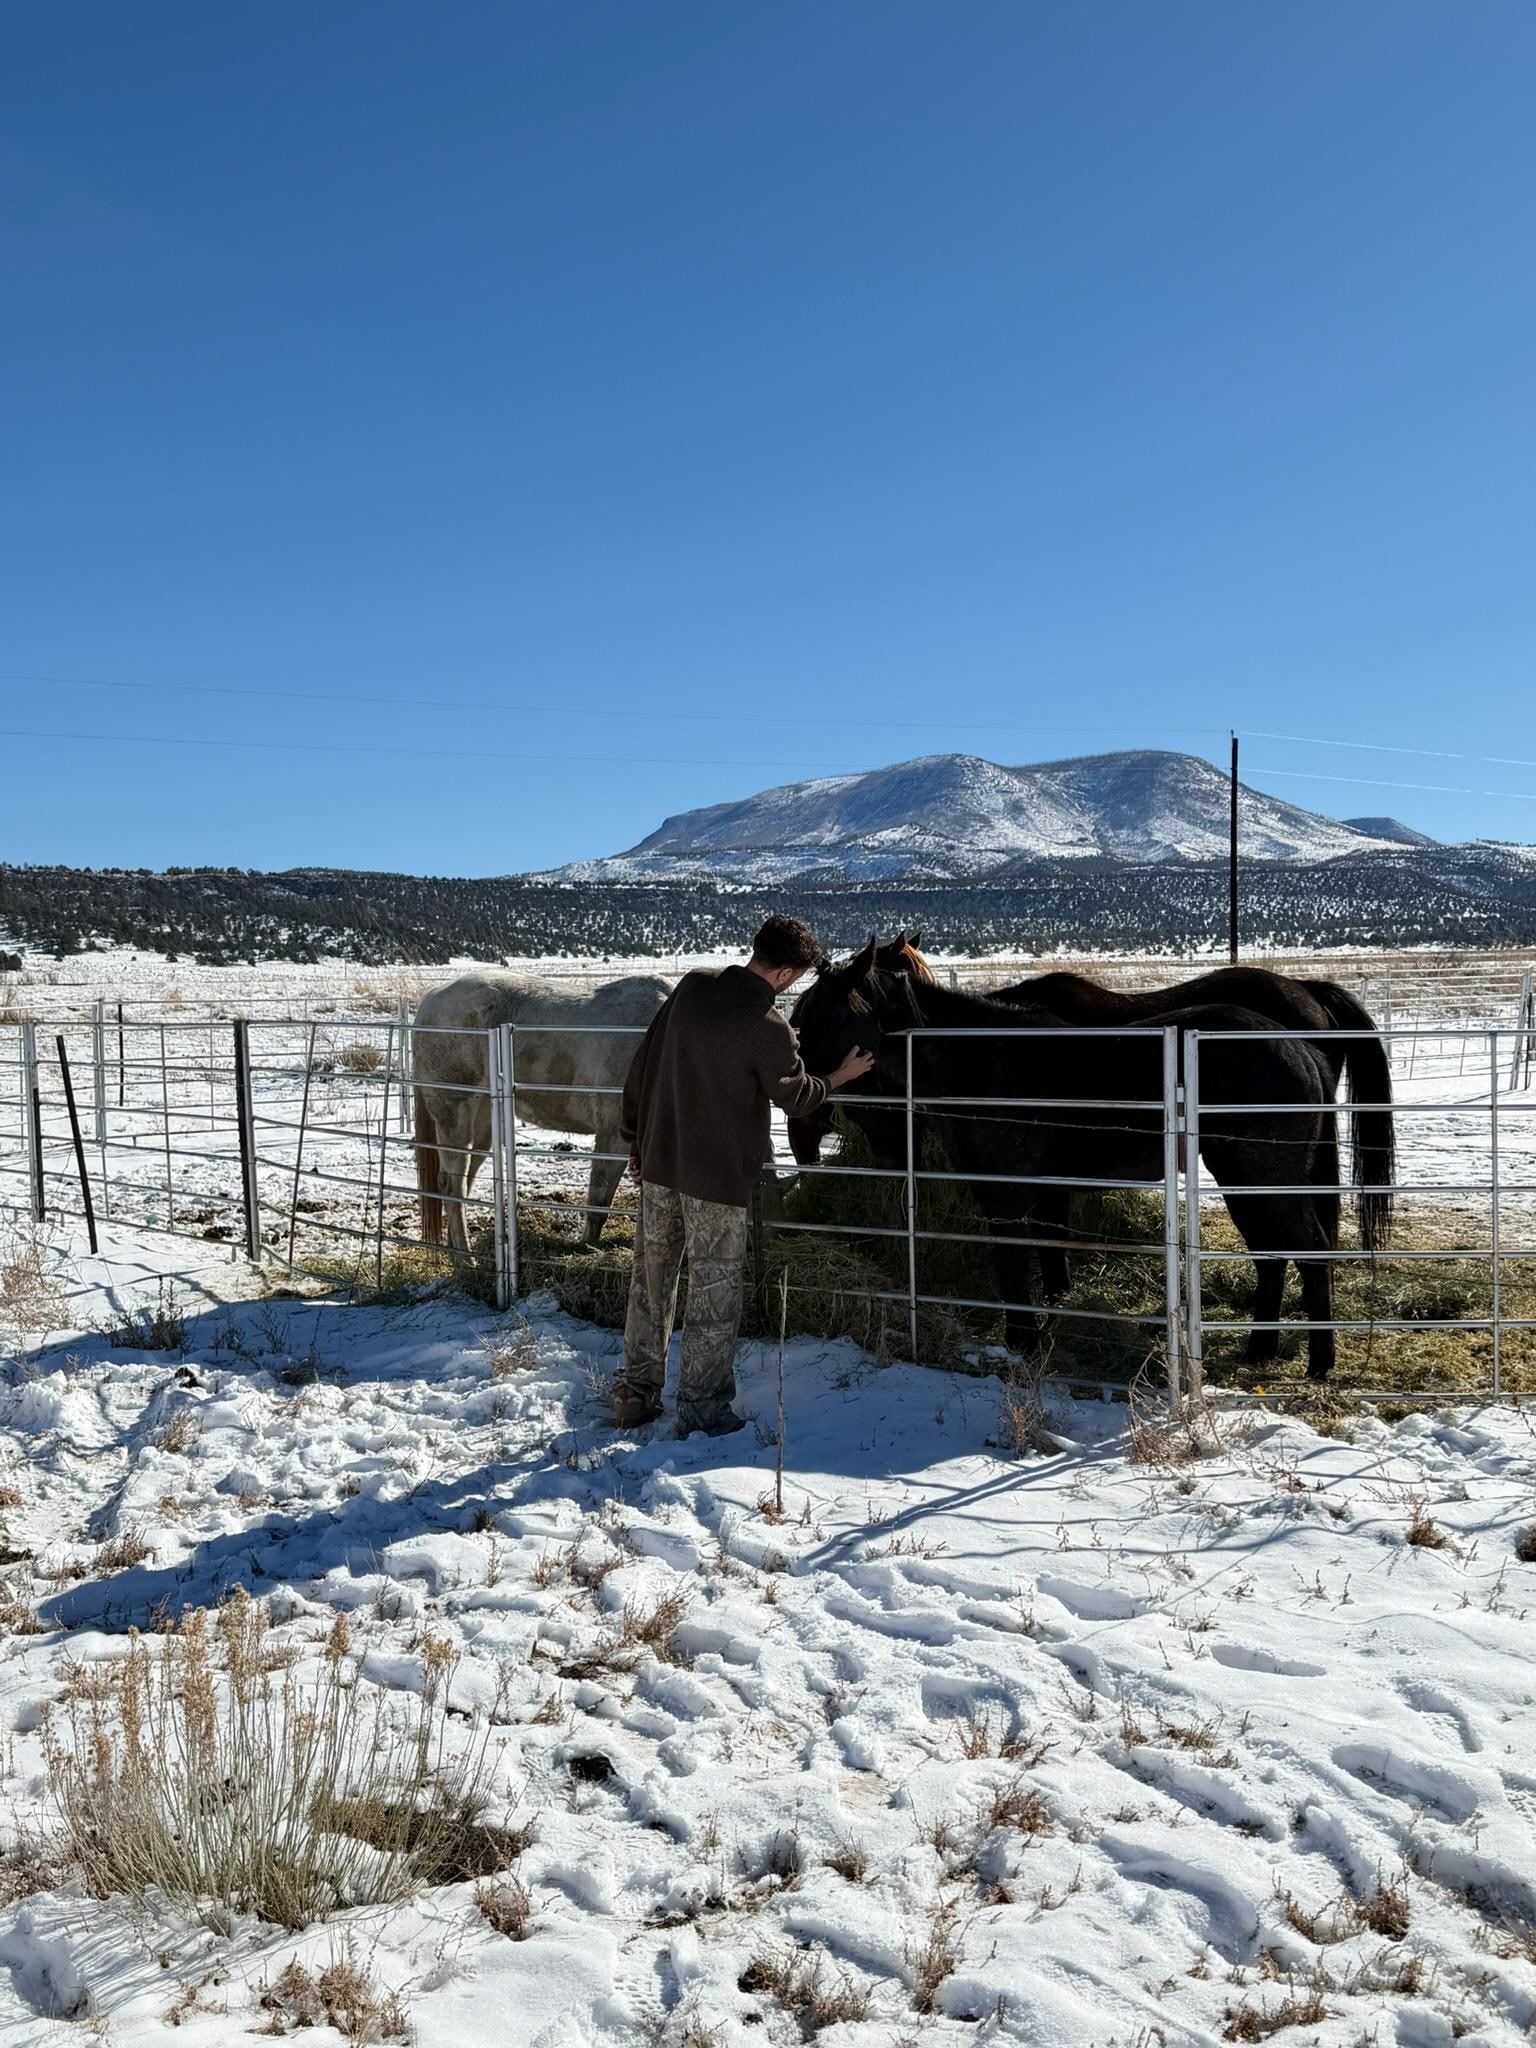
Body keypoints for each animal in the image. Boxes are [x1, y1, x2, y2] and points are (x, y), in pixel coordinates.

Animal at [412, 972, 670, 1268]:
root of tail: (432, 997)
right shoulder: (613, 1135)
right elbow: (598, 1203)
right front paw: (586, 1247)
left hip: (482, 1126)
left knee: (461, 1185)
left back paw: (458, 1260)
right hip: (454, 1115)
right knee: (452, 1186)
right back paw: (467, 1261)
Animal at [793, 941, 1352, 1379]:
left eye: (829, 1014)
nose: (805, 1089)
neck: (979, 1057)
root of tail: (1303, 1048)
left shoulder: (1007, 1192)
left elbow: (1014, 1263)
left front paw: (1021, 1341)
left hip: (1267, 1179)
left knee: (1310, 1251)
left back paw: (1319, 1362)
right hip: (1243, 1180)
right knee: (1270, 1254)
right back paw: (1260, 1349)